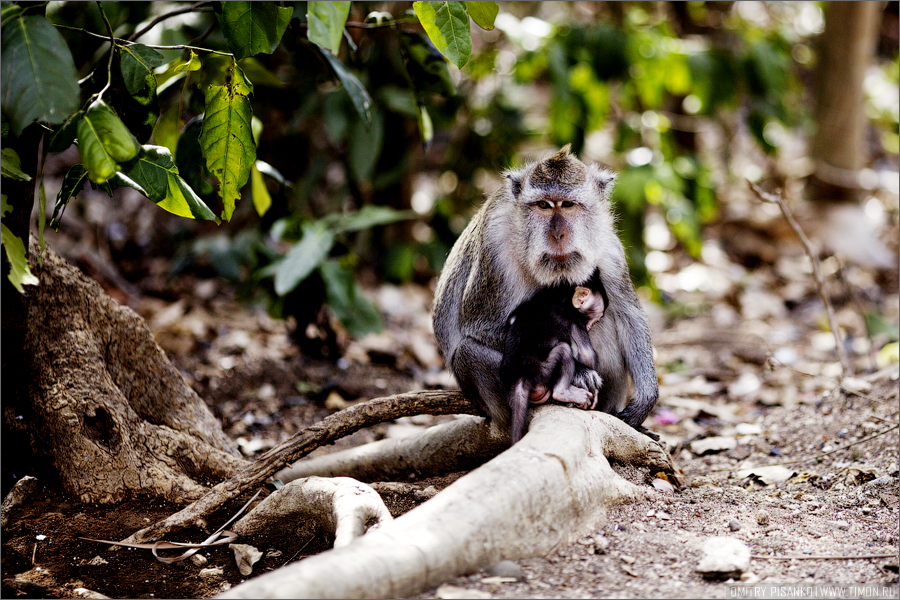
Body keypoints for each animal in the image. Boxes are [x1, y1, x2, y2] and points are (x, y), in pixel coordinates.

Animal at [502, 270, 608, 442]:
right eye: (593, 318)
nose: (590, 326)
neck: (564, 301)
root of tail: (522, 376)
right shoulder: (575, 319)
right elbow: (586, 354)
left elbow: (511, 320)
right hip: (543, 372)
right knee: (564, 350)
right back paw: (563, 393)